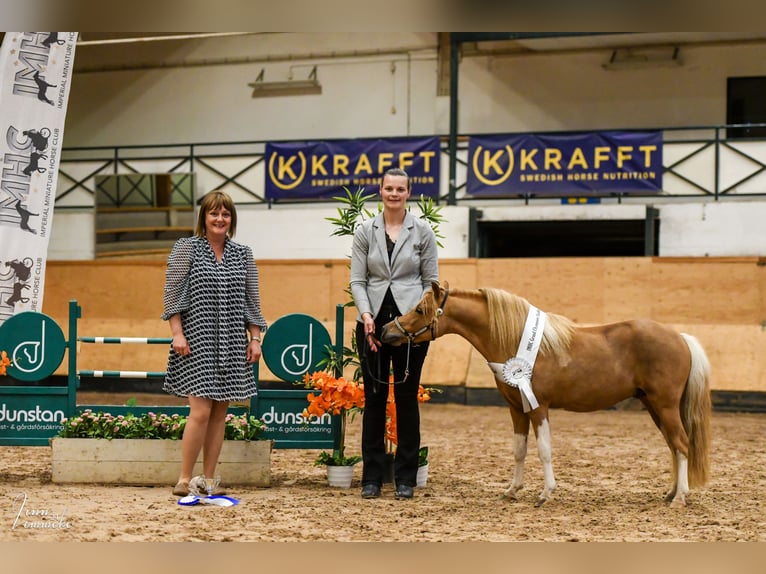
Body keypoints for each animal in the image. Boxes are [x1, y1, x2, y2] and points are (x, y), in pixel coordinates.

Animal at [382, 282, 712, 508]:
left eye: (420, 310)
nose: (387, 332)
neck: (515, 340)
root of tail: (680, 337)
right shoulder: (516, 408)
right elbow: (519, 450)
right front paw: (512, 491)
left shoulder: (538, 407)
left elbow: (544, 450)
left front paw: (545, 494)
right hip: (654, 406)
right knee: (673, 446)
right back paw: (671, 493)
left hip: (664, 405)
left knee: (681, 444)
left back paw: (680, 497)